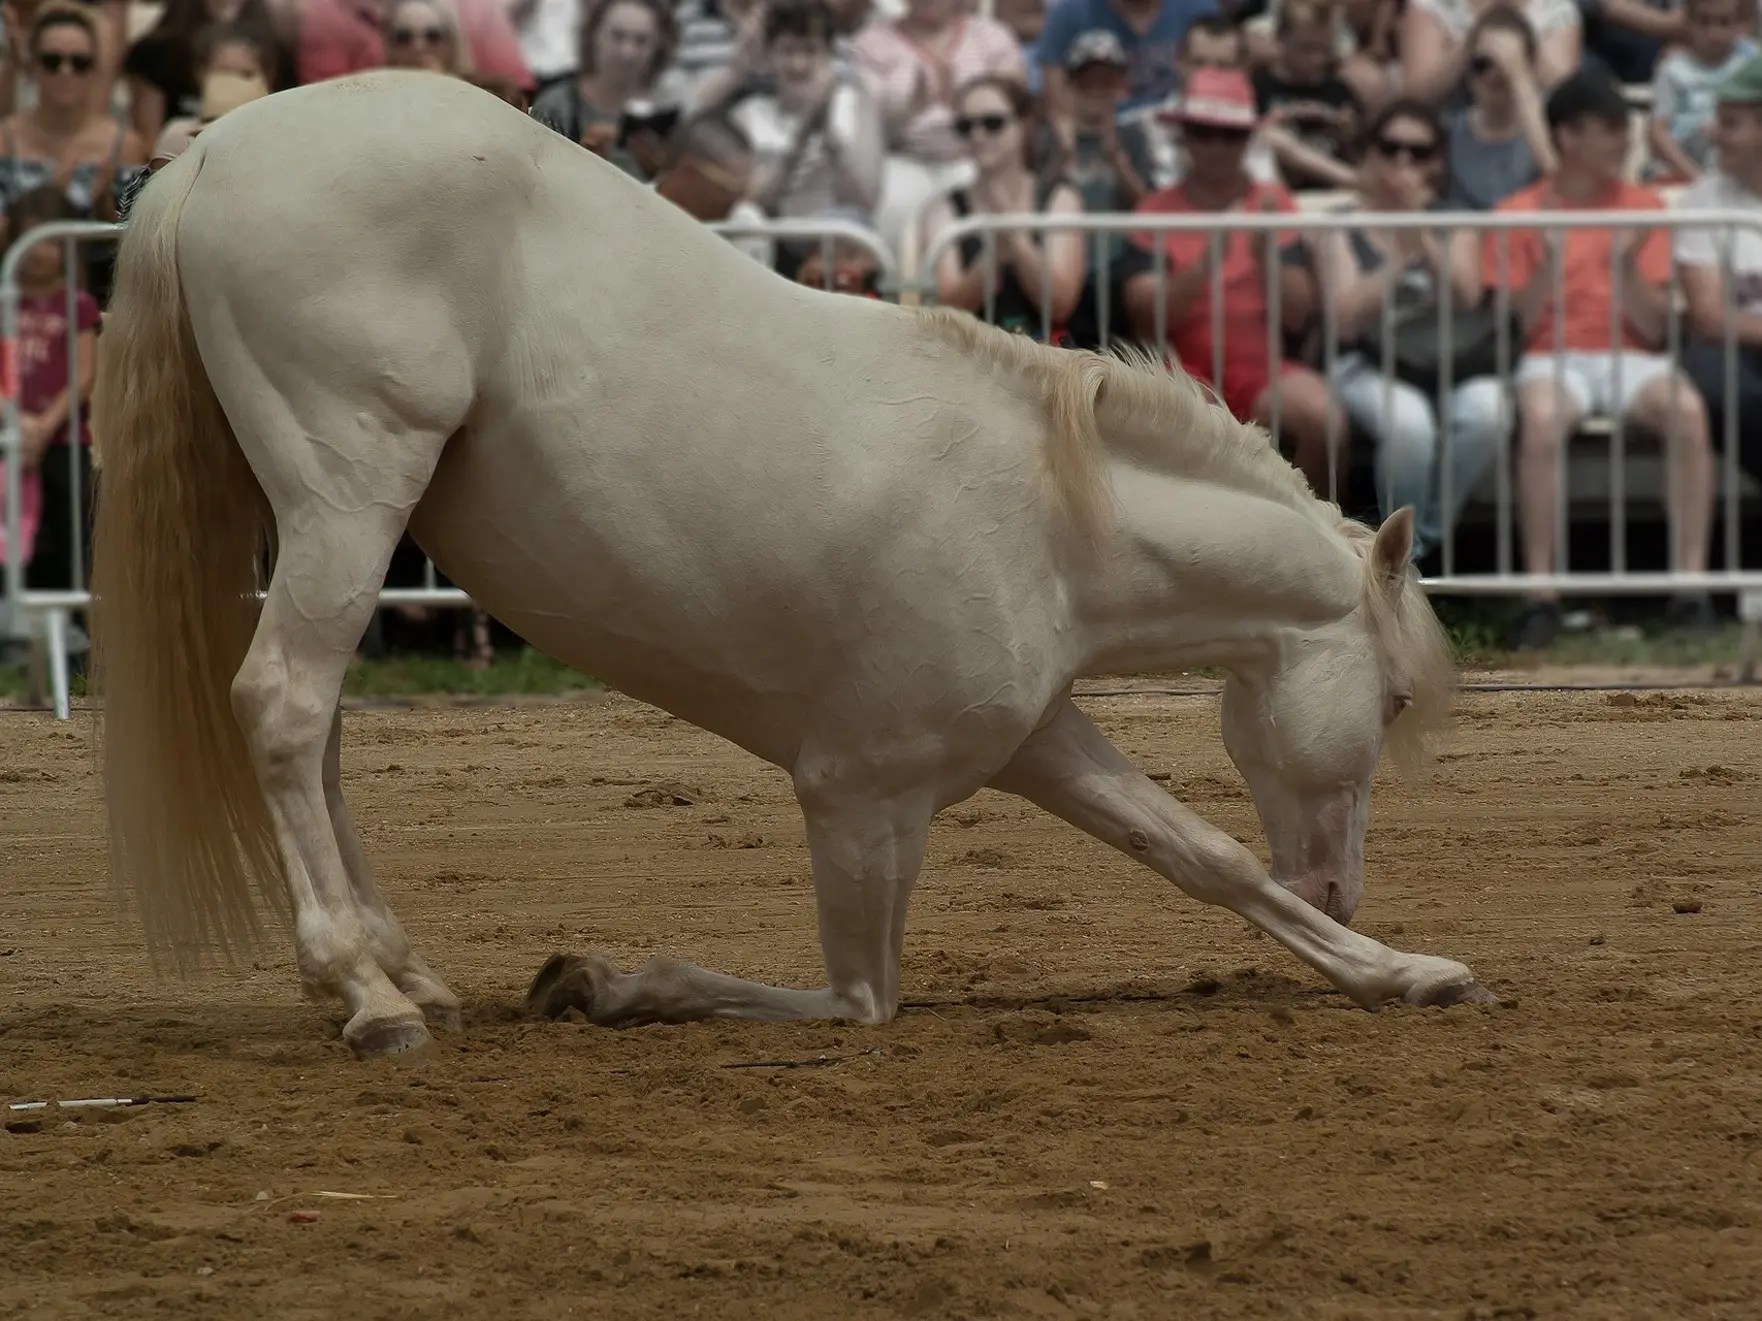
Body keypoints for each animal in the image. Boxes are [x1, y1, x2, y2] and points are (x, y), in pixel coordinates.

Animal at [82, 74, 1487, 1063]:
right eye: (1393, 702)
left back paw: (405, 969)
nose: (1339, 883)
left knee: (316, 731)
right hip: (350, 494)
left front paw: (1403, 971)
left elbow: (1198, 855)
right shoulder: (860, 797)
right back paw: (371, 996)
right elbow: (858, 997)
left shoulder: (1033, 737)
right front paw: (607, 984)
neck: (1052, 517)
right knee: (283, 706)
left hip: (325, 527)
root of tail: (206, 152)